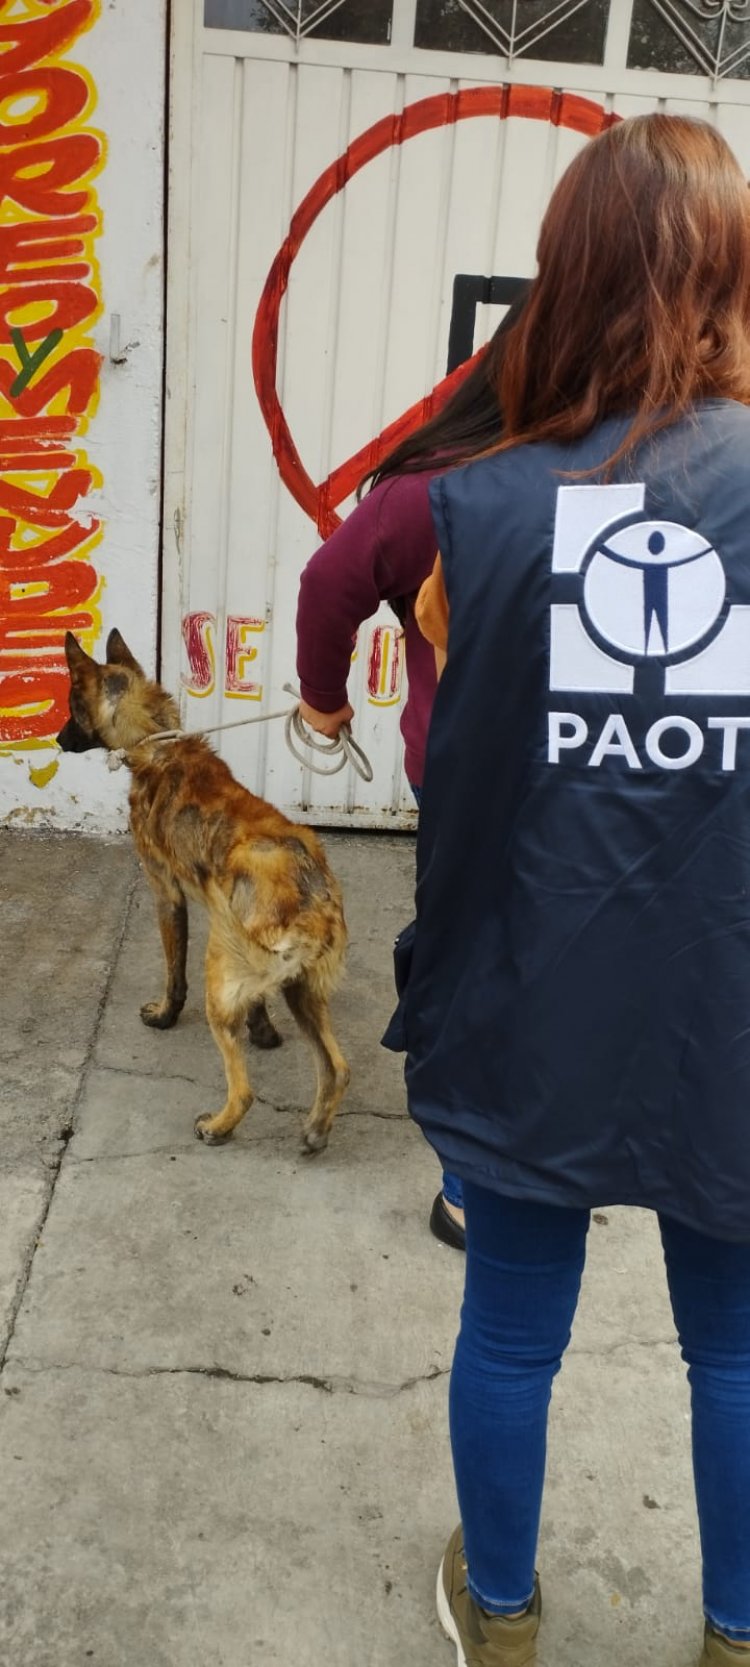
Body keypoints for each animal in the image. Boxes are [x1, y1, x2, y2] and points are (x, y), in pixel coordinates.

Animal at [59, 630, 351, 1153]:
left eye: (72, 707)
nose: (55, 739)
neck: (156, 746)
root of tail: (312, 898)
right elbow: (258, 1005)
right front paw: (264, 1033)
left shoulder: (166, 895)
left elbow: (174, 975)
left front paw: (164, 1015)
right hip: (303, 991)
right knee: (335, 1067)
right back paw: (316, 1131)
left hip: (220, 974)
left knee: (246, 1089)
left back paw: (218, 1125)